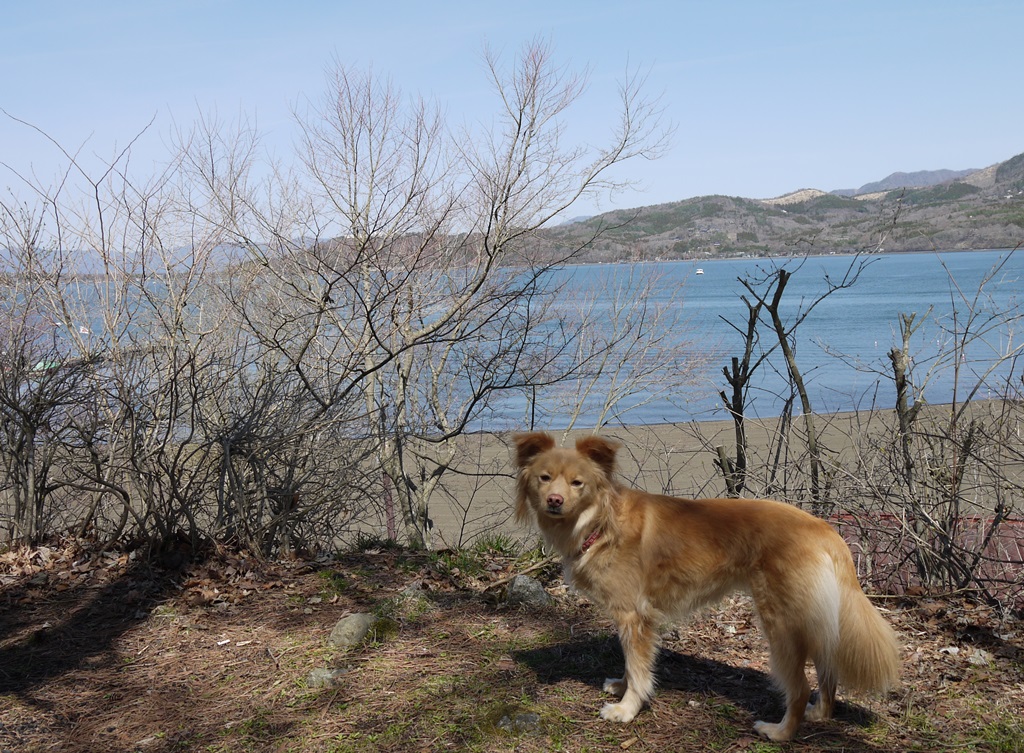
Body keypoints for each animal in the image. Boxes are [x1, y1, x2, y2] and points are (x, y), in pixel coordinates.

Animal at [516, 432, 901, 737]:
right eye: (544, 478)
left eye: (577, 483)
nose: (554, 501)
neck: (601, 521)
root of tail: (822, 527)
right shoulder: (635, 620)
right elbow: (631, 662)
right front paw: (622, 687)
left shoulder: (633, 616)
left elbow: (638, 667)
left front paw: (627, 709)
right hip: (812, 619)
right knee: (826, 667)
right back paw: (820, 714)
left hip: (782, 623)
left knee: (801, 686)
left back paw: (780, 732)